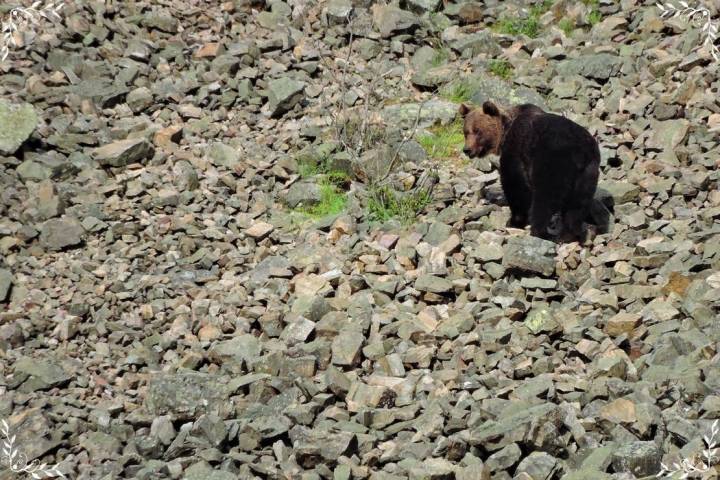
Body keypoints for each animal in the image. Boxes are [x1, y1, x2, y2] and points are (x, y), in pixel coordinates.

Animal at [462, 101, 600, 244]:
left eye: (477, 131)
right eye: (465, 132)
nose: (467, 150)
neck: (506, 131)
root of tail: (579, 152)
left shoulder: (516, 150)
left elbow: (515, 185)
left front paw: (514, 221)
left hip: (552, 162)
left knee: (544, 199)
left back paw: (539, 232)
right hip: (587, 174)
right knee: (577, 206)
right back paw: (567, 235)